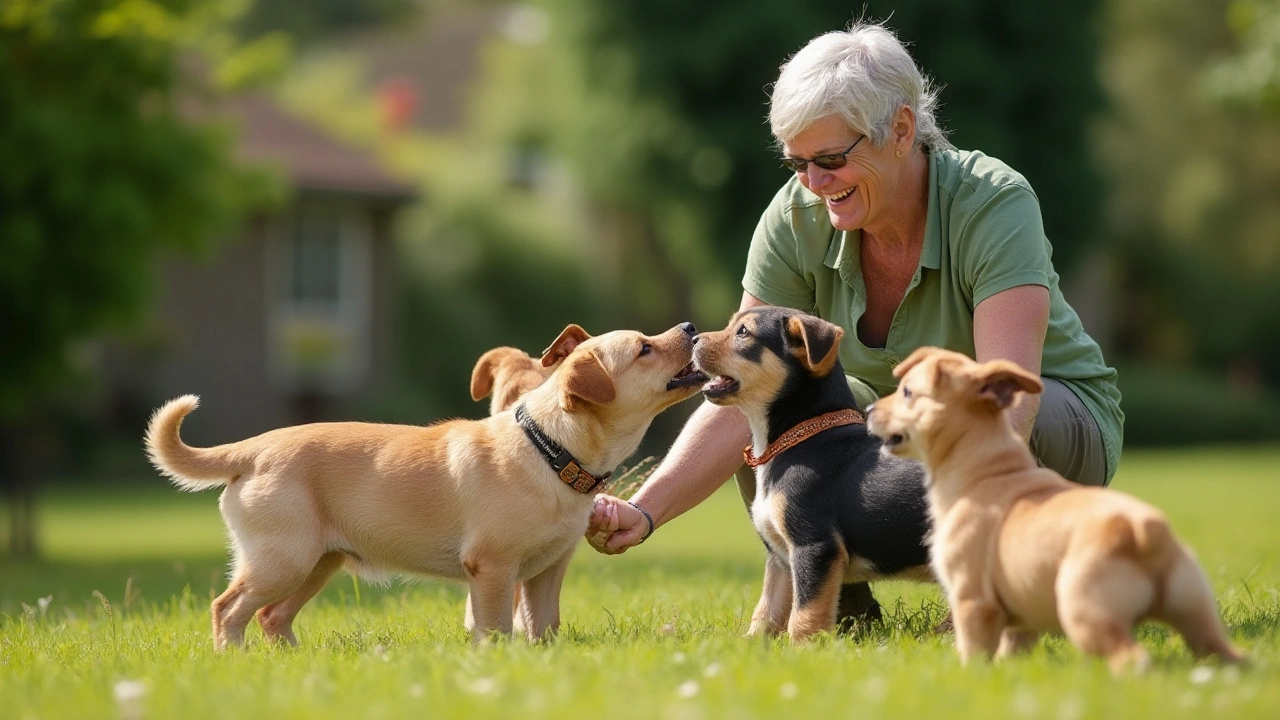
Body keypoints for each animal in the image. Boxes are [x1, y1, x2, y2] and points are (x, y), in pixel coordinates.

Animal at [146, 319, 706, 645]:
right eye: (644, 349)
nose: (691, 325)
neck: (549, 449)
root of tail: (253, 448)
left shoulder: (546, 572)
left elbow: (544, 628)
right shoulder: (492, 568)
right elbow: (496, 629)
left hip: (315, 562)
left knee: (272, 617)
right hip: (282, 558)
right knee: (227, 610)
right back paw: (233, 662)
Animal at [701, 304, 931, 635]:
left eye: (743, 332)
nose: (693, 339)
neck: (797, 438)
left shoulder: (814, 546)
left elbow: (804, 615)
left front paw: (805, 647)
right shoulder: (781, 559)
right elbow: (766, 612)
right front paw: (750, 645)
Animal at [865, 348, 1244, 671]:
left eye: (907, 392)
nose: (868, 412)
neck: (987, 469)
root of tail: (1144, 531)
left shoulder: (972, 600)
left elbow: (974, 655)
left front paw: (969, 677)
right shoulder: (1020, 617)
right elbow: (1012, 651)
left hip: (1085, 609)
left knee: (1132, 659)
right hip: (1195, 611)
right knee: (1226, 653)